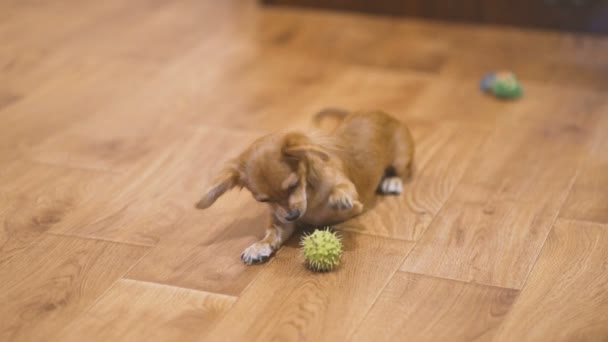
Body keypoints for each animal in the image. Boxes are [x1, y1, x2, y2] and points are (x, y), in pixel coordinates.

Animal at [195, 109, 414, 264]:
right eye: (264, 200)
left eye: (293, 185)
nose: (293, 215)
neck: (310, 195)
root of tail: (381, 113)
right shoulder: (282, 221)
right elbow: (273, 232)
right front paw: (260, 246)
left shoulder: (354, 201)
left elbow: (343, 190)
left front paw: (338, 197)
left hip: (401, 158)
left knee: (401, 171)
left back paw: (392, 181)